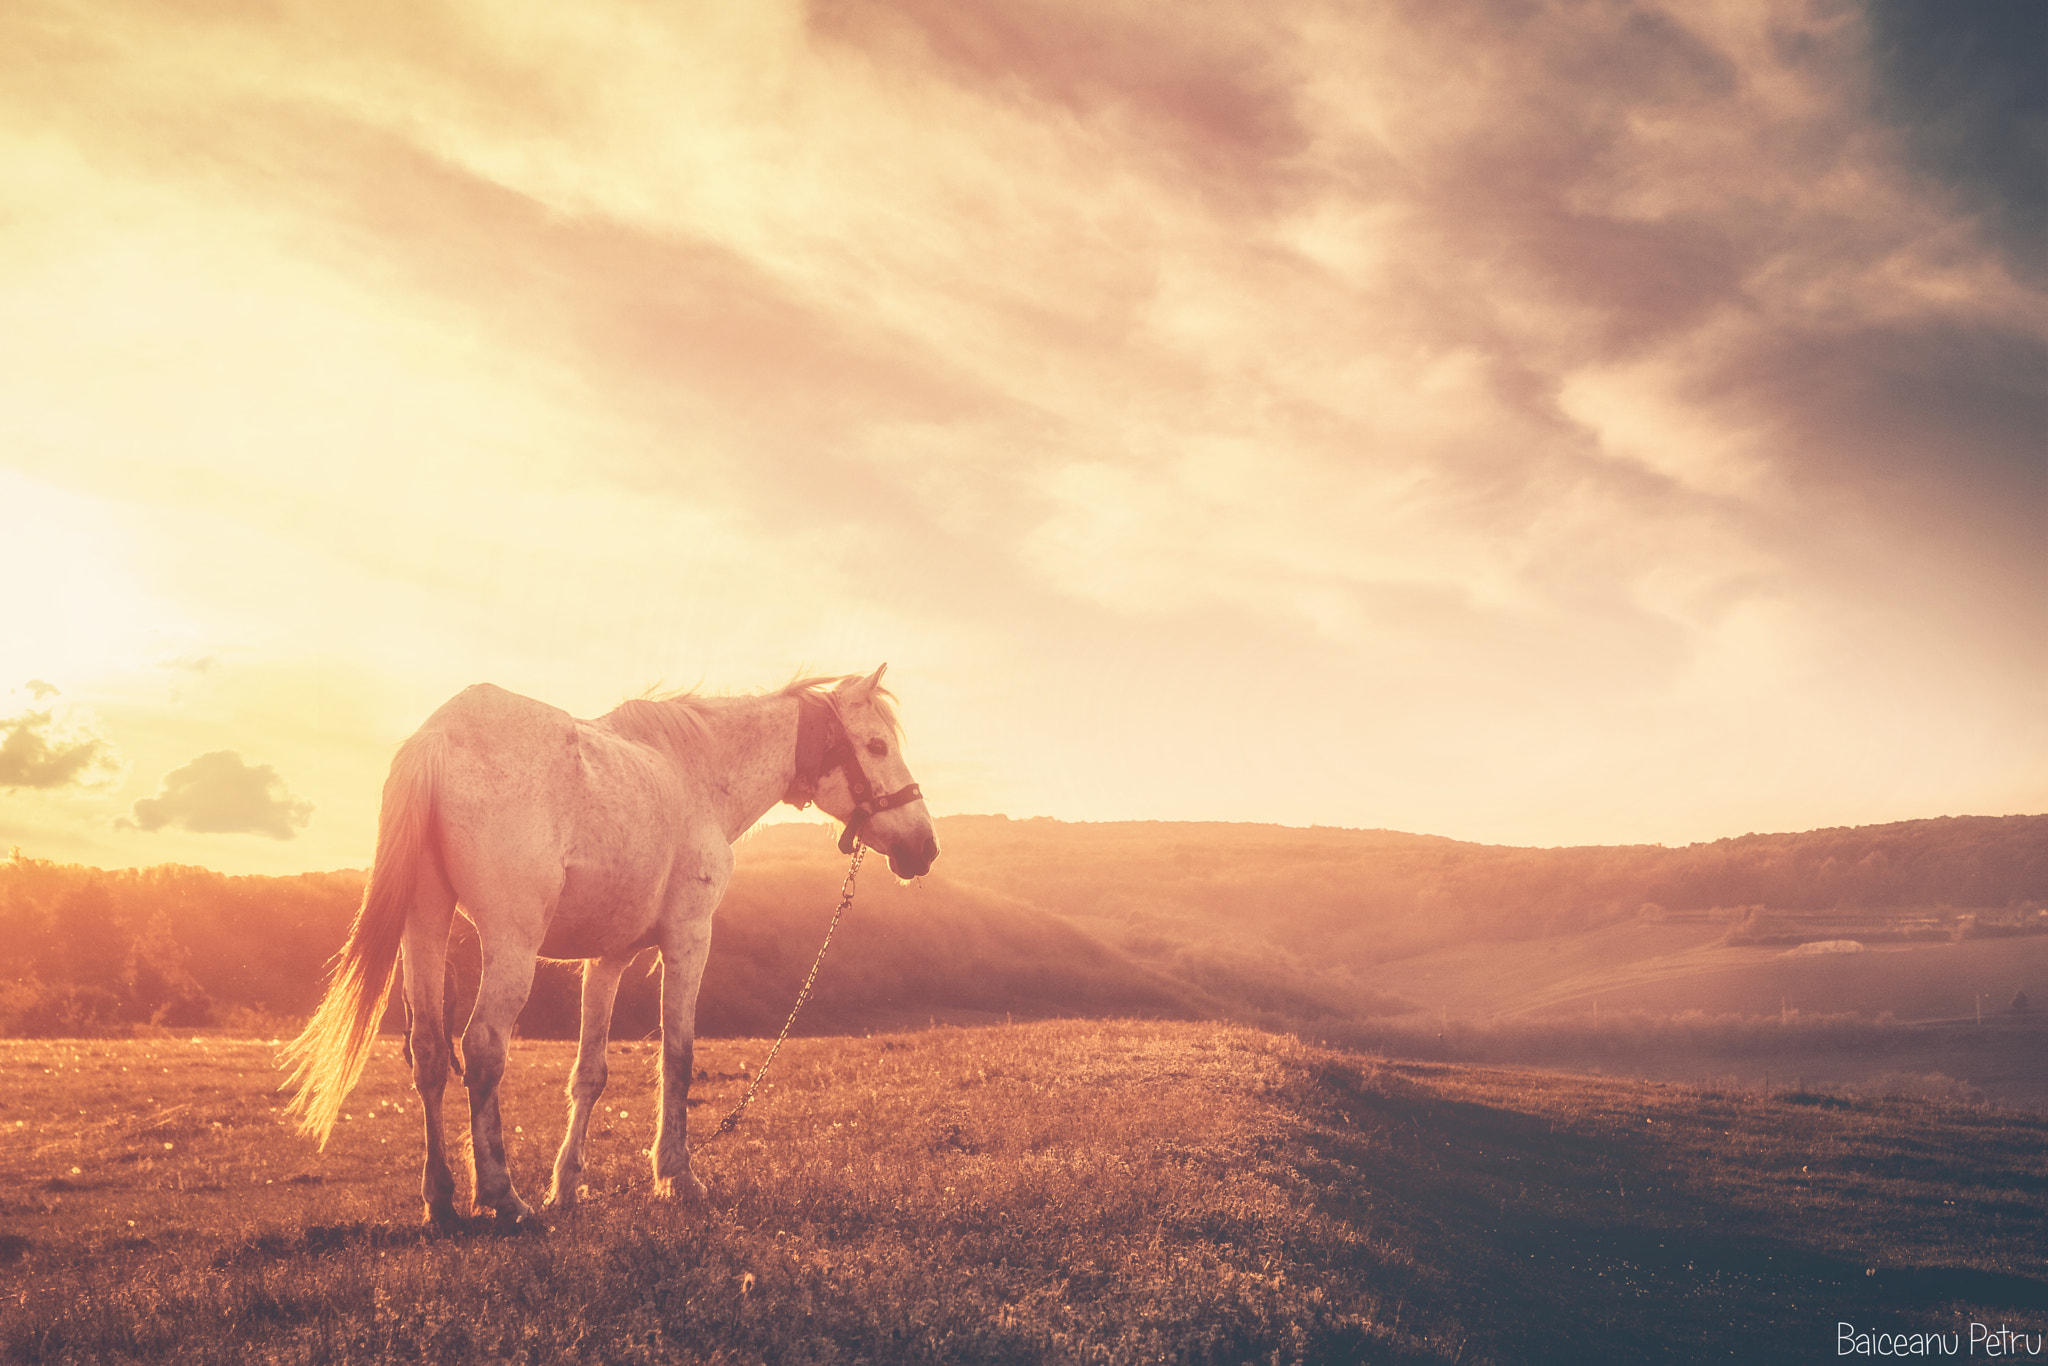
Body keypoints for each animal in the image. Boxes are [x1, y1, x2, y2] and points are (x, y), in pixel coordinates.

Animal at [281, 666, 936, 1228]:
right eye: (877, 746)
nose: (925, 848)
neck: (695, 774)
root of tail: (440, 736)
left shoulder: (609, 959)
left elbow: (590, 1073)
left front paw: (568, 1185)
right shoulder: (688, 938)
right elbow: (678, 1056)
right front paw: (677, 1176)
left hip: (425, 925)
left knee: (430, 1053)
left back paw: (441, 1200)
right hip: (511, 942)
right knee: (484, 1047)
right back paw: (500, 1194)